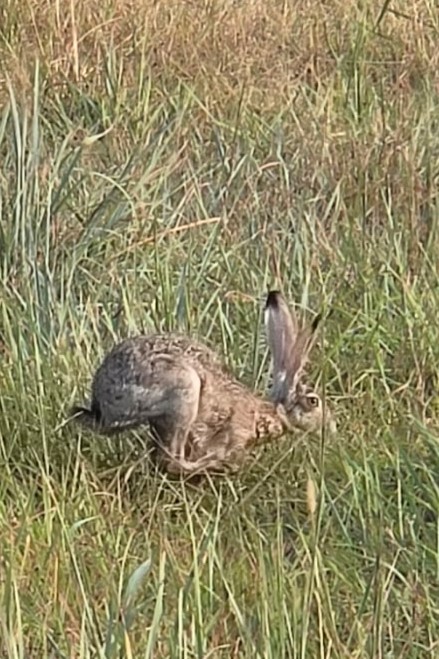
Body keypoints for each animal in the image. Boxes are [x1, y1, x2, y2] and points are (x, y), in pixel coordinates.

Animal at [71, 290, 335, 475]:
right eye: (313, 401)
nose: (330, 426)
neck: (271, 410)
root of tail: (101, 404)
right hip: (183, 394)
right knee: (172, 460)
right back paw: (213, 466)